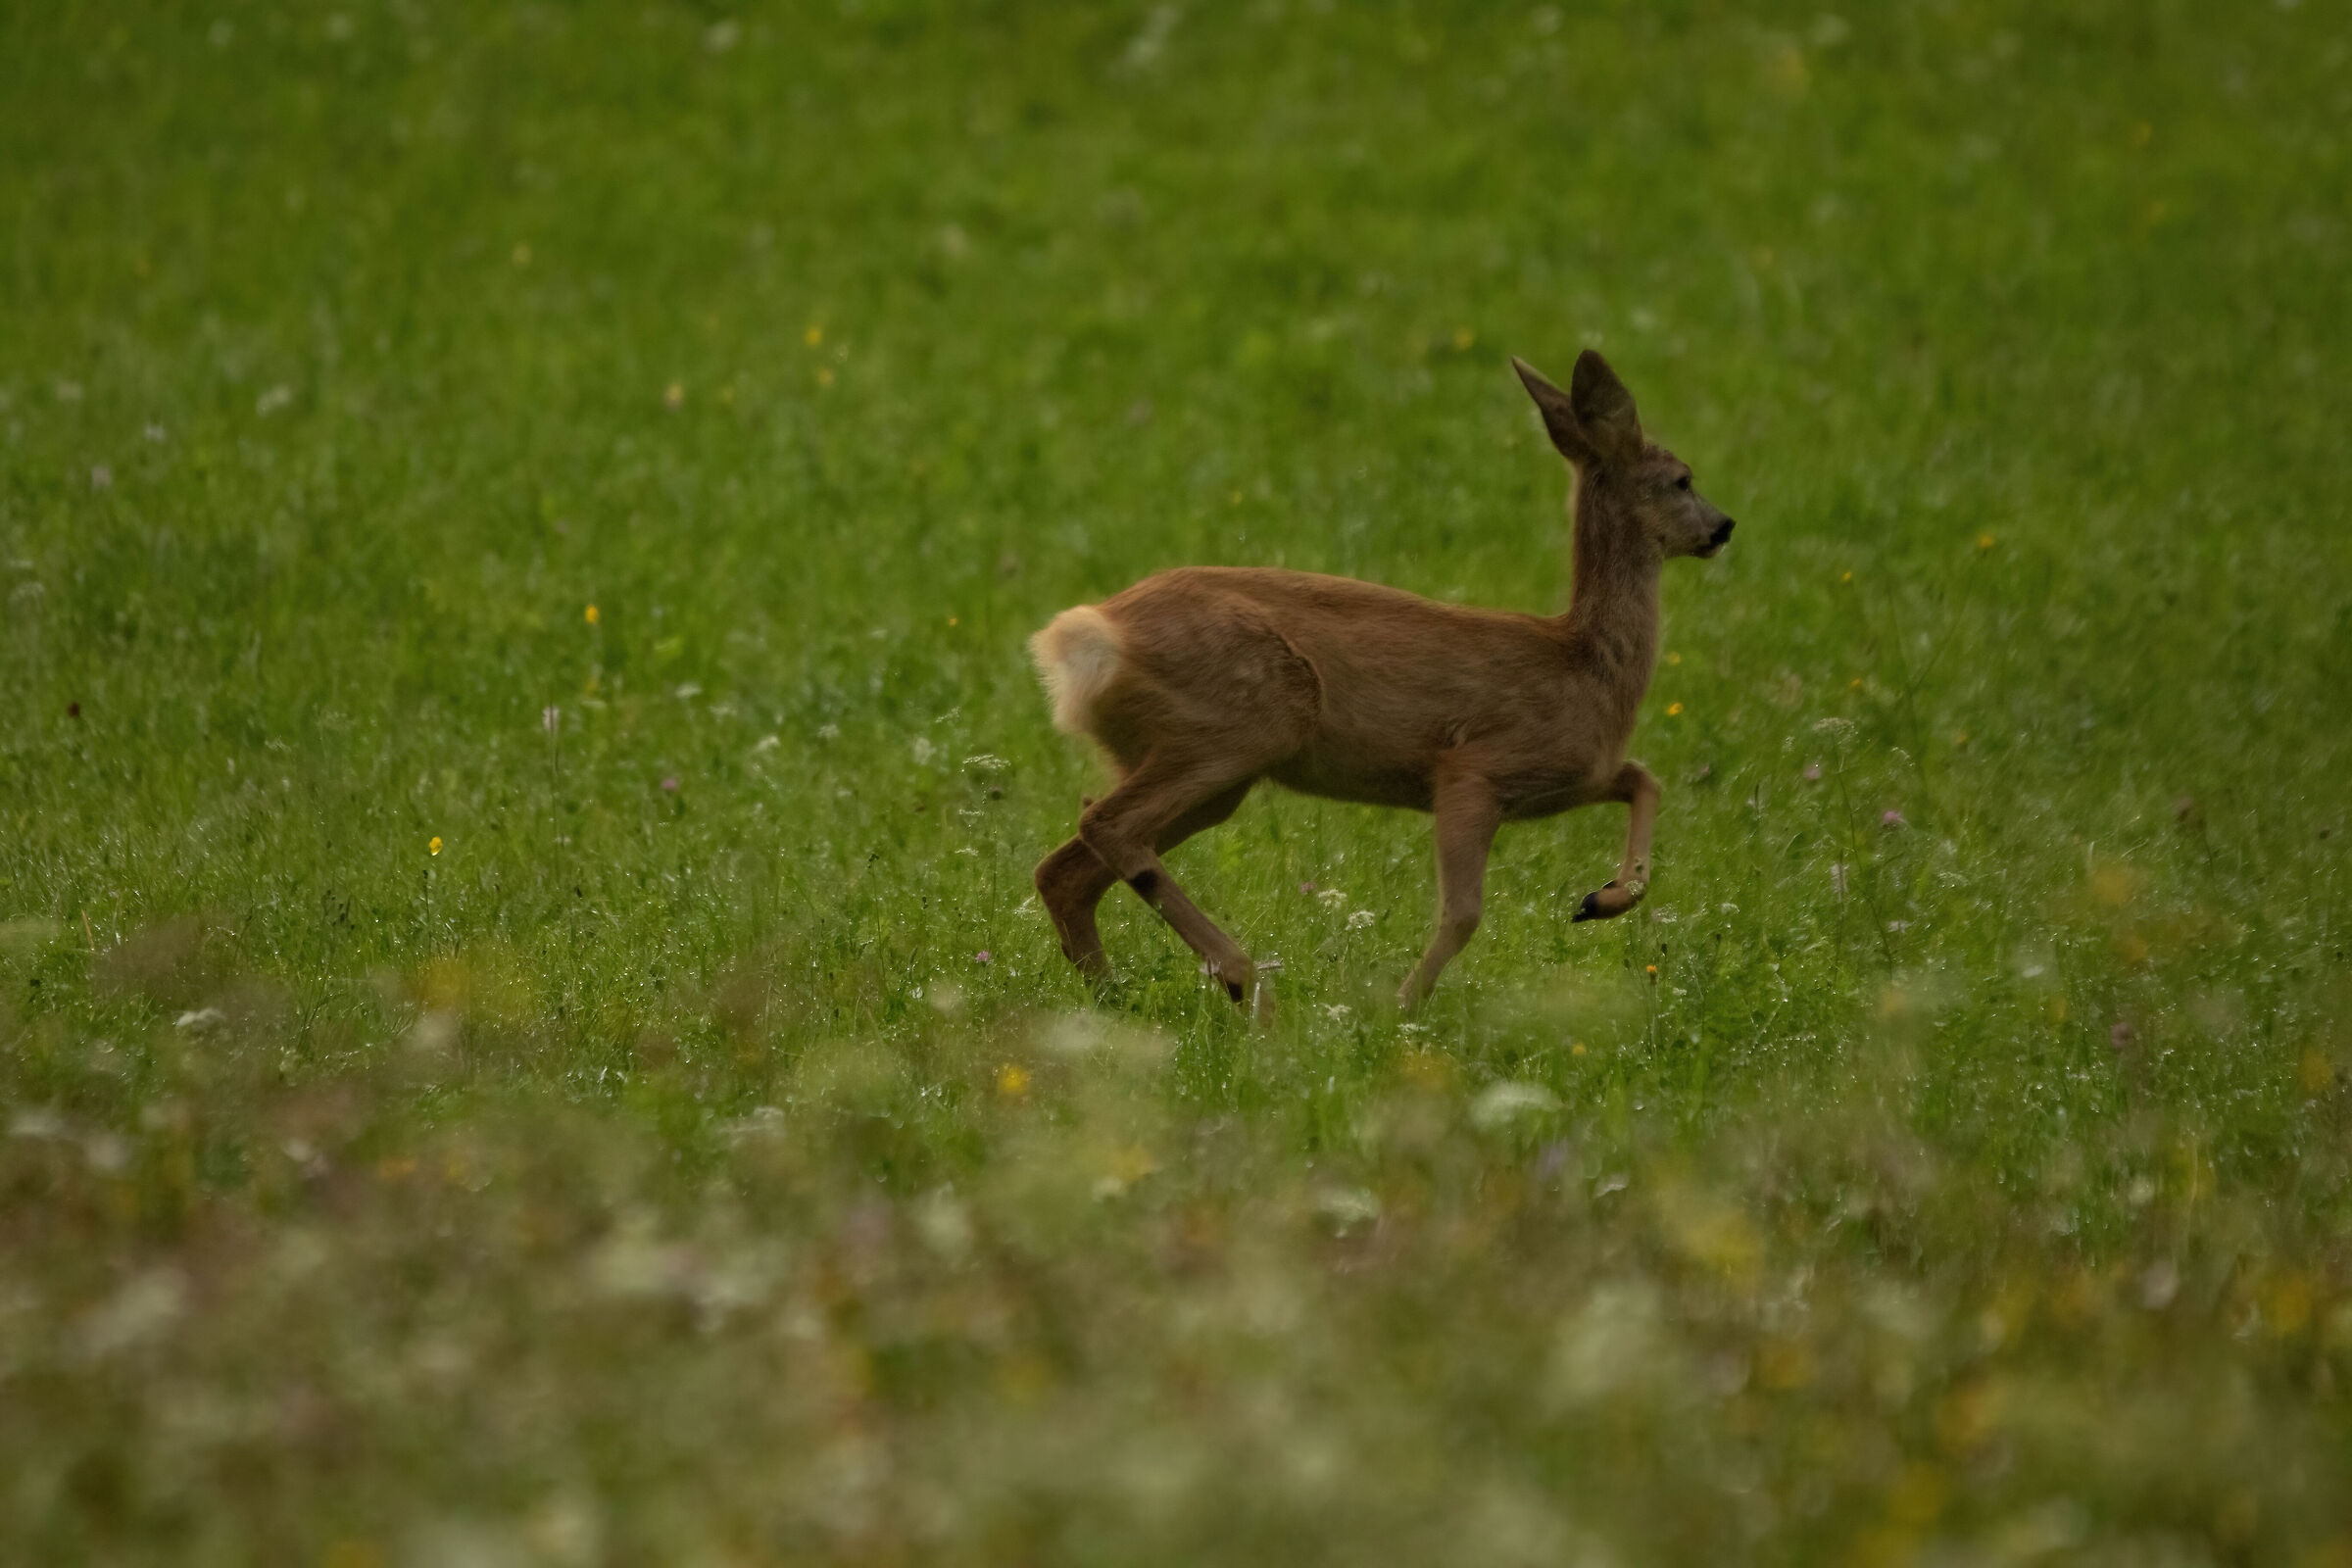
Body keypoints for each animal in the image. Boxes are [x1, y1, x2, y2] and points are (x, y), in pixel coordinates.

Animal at [1027, 349, 1735, 1014]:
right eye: (1682, 479)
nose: (1724, 526)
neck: (1588, 666)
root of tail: (1083, 638)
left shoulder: (1574, 777)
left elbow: (1643, 777)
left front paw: (1601, 899)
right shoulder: (1475, 770)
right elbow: (1463, 913)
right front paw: (1399, 1010)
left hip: (1208, 768)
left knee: (1066, 866)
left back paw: (1117, 1001)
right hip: (1240, 723)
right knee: (1106, 828)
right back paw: (1247, 985)